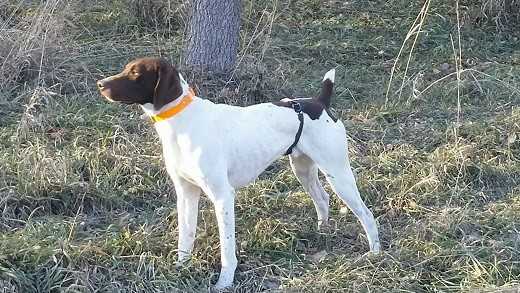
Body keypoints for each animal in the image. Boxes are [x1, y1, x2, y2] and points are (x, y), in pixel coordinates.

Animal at [97, 57, 382, 290]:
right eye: (126, 68)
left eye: (135, 72)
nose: (100, 84)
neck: (183, 122)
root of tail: (319, 102)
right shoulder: (186, 193)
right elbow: (185, 237)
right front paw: (181, 267)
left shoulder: (223, 197)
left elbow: (227, 248)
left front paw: (224, 282)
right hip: (303, 169)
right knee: (322, 199)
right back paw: (322, 232)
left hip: (339, 174)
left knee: (367, 215)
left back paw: (375, 254)